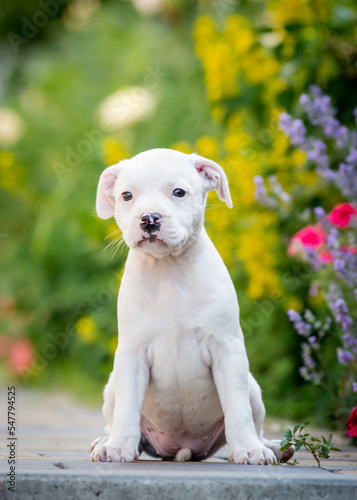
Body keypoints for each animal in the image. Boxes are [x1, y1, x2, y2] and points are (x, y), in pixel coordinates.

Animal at [90, 148, 290, 464]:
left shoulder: (227, 350)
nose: (149, 218)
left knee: (254, 421)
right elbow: (127, 408)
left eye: (179, 192)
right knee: (115, 417)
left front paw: (249, 450)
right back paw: (108, 441)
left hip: (253, 389)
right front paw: (119, 447)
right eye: (126, 195)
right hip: (111, 387)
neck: (169, 272)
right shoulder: (132, 354)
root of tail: (181, 448)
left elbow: (238, 409)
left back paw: (270, 446)